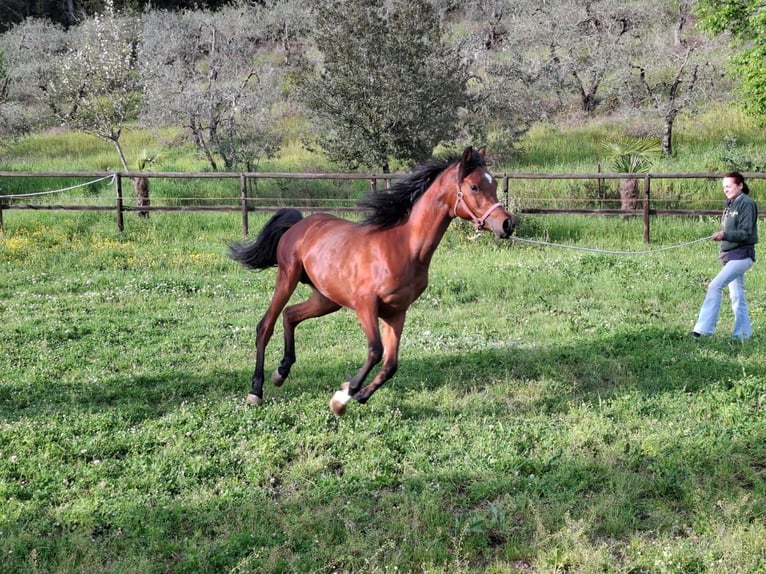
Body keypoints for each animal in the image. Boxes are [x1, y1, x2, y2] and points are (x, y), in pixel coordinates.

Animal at [228, 146, 515, 415]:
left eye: (494, 185)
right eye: (474, 186)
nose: (507, 224)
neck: (403, 247)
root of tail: (299, 224)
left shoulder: (397, 312)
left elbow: (390, 365)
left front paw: (359, 394)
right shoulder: (365, 304)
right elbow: (375, 351)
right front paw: (341, 399)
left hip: (326, 298)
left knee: (290, 315)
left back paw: (281, 372)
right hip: (287, 279)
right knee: (265, 326)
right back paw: (256, 391)